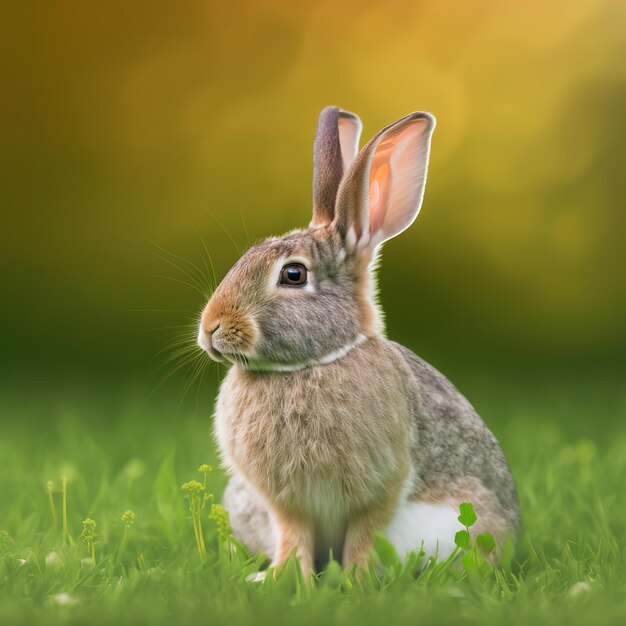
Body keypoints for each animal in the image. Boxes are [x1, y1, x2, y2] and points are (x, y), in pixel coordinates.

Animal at [197, 105, 516, 572]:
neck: (311, 365)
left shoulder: (383, 485)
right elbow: (294, 535)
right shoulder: (284, 503)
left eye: (293, 274)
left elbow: (365, 534)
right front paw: (285, 577)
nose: (211, 329)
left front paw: (355, 579)